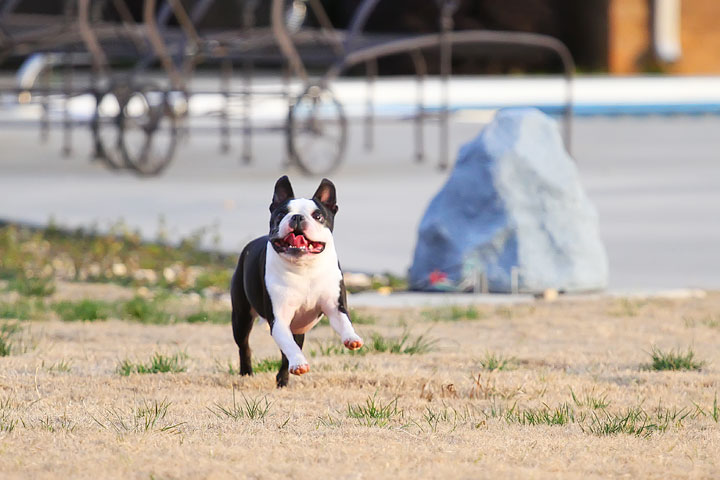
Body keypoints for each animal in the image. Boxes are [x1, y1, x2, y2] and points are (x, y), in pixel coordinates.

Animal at [232, 174, 362, 388]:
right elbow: (289, 346)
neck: (304, 268)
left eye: (318, 216)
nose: (297, 217)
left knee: (288, 352)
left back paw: (283, 379)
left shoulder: (335, 307)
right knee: (245, 346)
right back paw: (247, 373)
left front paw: (352, 338)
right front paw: (299, 363)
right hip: (241, 317)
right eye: (281, 214)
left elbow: (344, 322)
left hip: (297, 328)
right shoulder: (279, 319)